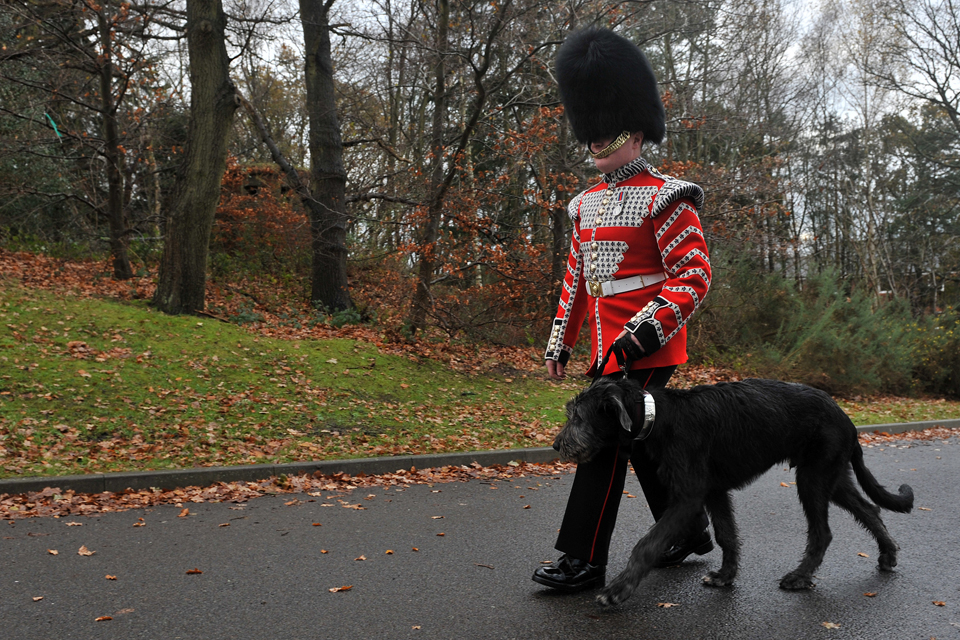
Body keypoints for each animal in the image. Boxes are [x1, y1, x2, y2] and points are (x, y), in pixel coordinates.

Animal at [552, 378, 912, 608]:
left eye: (577, 416)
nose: (556, 445)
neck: (657, 418)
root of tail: (848, 420)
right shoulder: (714, 492)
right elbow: (726, 535)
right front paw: (726, 575)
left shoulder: (689, 497)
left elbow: (647, 544)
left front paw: (618, 589)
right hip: (831, 479)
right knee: (869, 510)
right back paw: (887, 554)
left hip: (813, 479)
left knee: (823, 532)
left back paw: (799, 576)